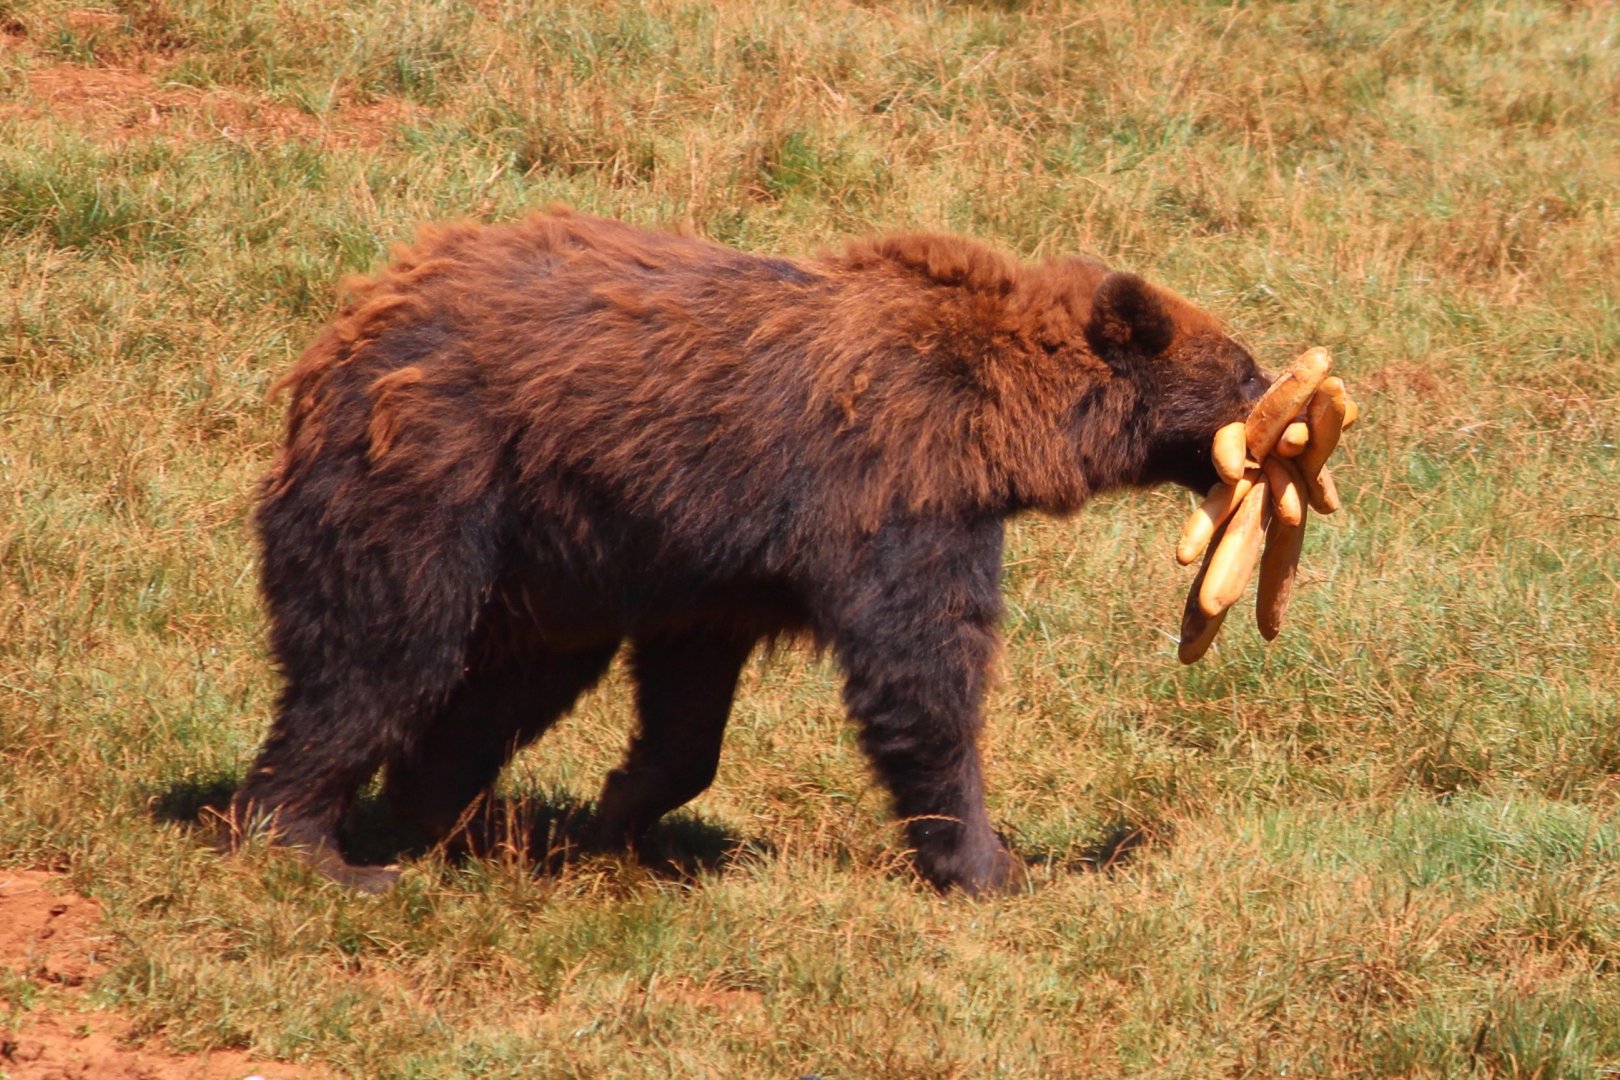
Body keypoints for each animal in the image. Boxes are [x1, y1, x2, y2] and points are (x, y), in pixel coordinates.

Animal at [228, 207, 1268, 896]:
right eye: (1246, 367)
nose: (1274, 401)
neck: (997, 420)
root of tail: (342, 331)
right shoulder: (890, 490)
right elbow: (922, 669)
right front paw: (987, 861)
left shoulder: (717, 569)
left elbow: (687, 711)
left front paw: (618, 814)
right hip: (436, 483)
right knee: (381, 653)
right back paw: (316, 846)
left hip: (551, 555)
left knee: (500, 684)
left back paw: (441, 815)